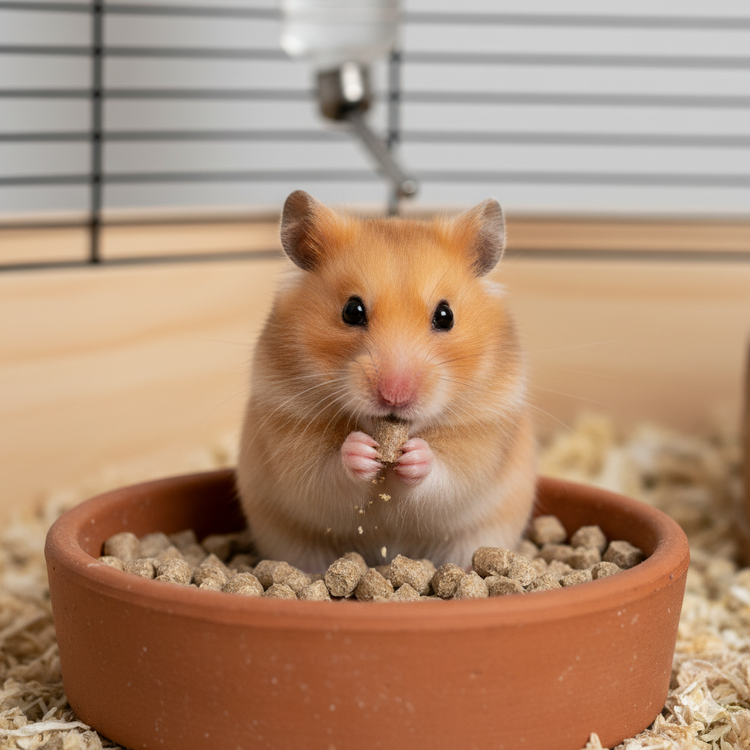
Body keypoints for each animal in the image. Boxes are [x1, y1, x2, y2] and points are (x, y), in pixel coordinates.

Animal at [236, 190, 536, 572]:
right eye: (352, 311)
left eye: (446, 315)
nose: (395, 396)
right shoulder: (288, 425)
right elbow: (327, 474)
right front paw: (361, 450)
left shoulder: (483, 433)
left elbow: (446, 475)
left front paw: (415, 455)